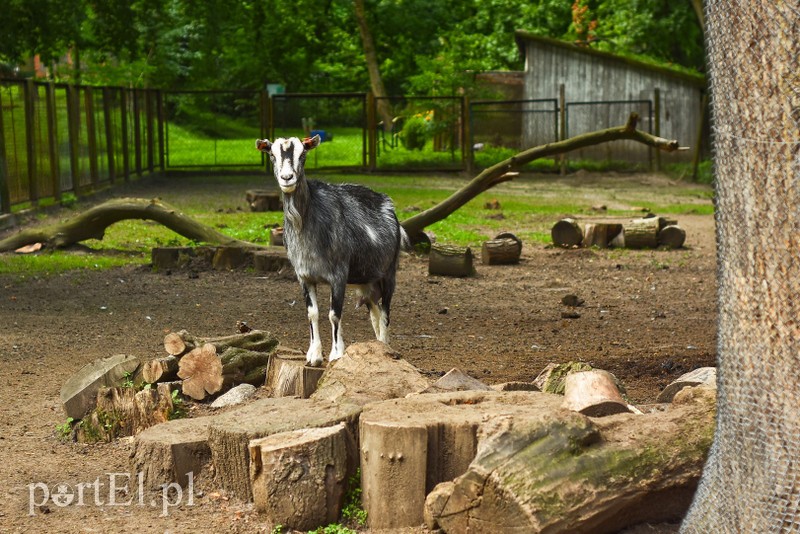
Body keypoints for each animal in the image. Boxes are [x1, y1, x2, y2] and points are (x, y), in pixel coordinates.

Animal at [256, 136, 406, 366]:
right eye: (272, 154)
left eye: (303, 154)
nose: (287, 178)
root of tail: (389, 206)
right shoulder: (304, 276)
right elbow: (312, 313)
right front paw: (314, 356)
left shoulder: (339, 274)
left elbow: (334, 314)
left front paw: (336, 354)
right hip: (367, 281)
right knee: (375, 312)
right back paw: (378, 346)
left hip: (389, 273)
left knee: (386, 312)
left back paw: (385, 347)